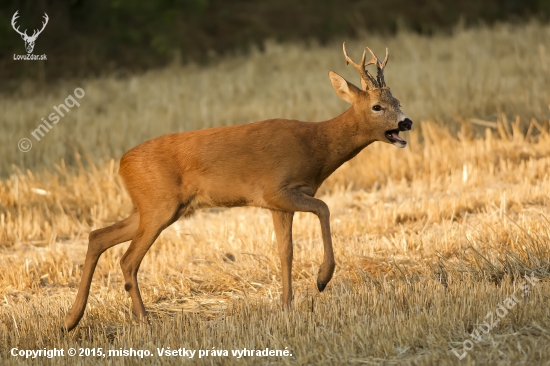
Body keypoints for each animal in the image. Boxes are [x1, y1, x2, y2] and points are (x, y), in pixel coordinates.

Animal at [63, 43, 414, 332]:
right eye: (377, 107)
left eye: (397, 100)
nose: (407, 122)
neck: (316, 147)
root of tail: (122, 163)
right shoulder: (276, 189)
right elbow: (325, 209)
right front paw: (322, 278)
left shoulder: (278, 204)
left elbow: (286, 251)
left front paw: (287, 307)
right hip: (159, 206)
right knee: (127, 259)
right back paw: (144, 321)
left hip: (152, 206)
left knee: (98, 236)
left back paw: (71, 320)